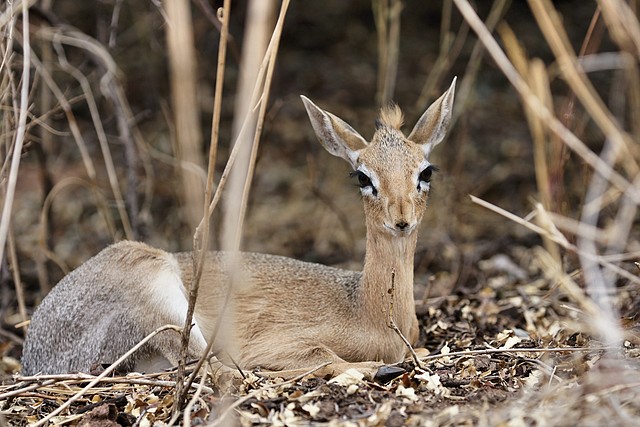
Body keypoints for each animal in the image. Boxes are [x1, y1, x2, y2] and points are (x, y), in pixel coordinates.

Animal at [22, 79, 458, 378]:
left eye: (426, 171)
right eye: (363, 177)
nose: (401, 219)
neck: (372, 314)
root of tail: (34, 353)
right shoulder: (277, 343)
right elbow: (319, 355)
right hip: (157, 293)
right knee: (214, 368)